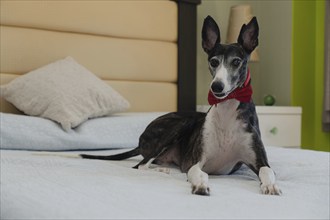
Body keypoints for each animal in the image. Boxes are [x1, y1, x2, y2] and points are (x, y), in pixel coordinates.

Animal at [80, 16, 282, 197]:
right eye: (214, 61)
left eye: (237, 62)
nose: (217, 87)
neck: (227, 110)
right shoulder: (195, 161)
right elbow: (199, 173)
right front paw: (200, 185)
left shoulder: (258, 160)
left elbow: (268, 171)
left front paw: (270, 186)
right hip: (178, 126)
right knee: (140, 165)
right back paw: (162, 171)